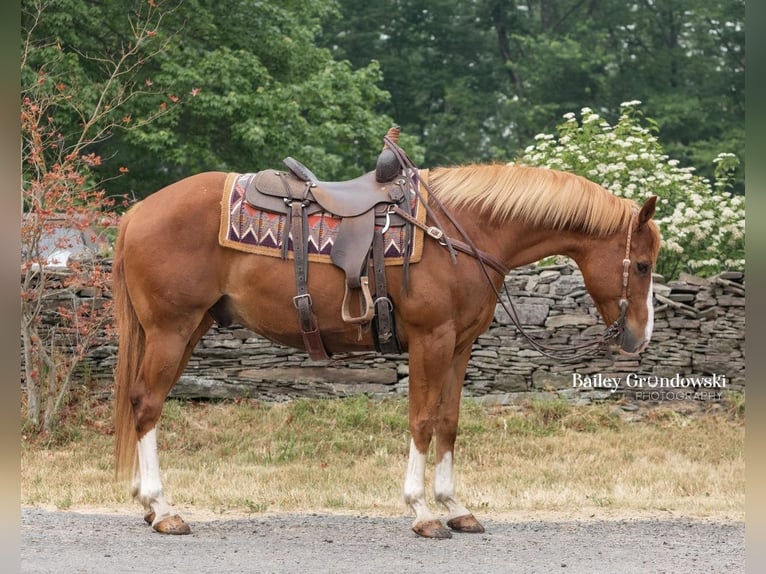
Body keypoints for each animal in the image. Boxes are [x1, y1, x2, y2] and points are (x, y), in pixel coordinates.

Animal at [111, 162, 664, 540]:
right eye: (641, 265)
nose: (639, 337)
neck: (461, 233)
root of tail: (138, 212)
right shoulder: (430, 339)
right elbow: (421, 420)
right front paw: (421, 512)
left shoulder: (460, 345)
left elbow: (448, 422)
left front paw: (454, 506)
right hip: (172, 329)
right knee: (148, 405)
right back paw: (163, 509)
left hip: (189, 328)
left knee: (143, 403)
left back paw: (147, 505)